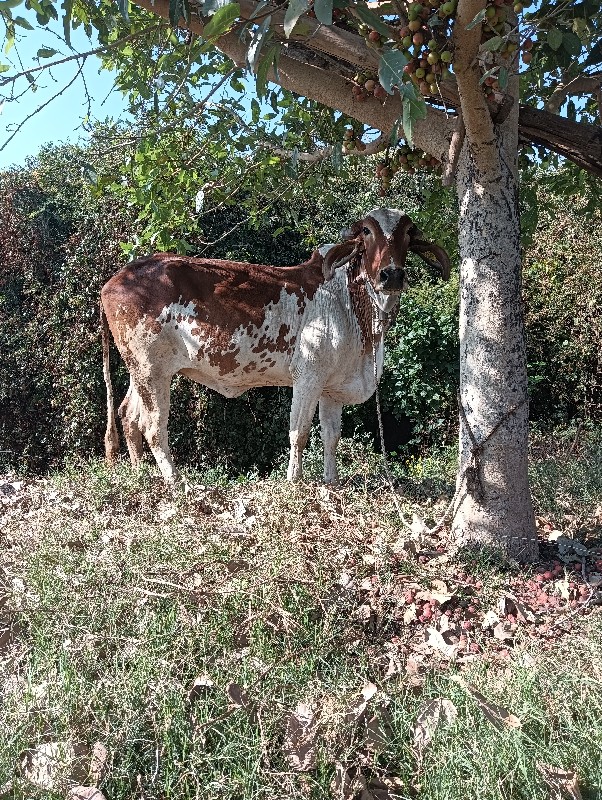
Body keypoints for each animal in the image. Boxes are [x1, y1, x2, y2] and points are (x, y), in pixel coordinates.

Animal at [101, 208, 448, 482]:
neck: (353, 305)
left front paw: (331, 482)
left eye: (408, 233)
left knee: (129, 416)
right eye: (366, 231)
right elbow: (300, 433)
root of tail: (117, 278)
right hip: (152, 371)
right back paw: (177, 482)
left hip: (142, 372)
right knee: (153, 427)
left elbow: (331, 437)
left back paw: (139, 474)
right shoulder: (308, 377)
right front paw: (294, 481)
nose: (392, 275)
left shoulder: (331, 387)